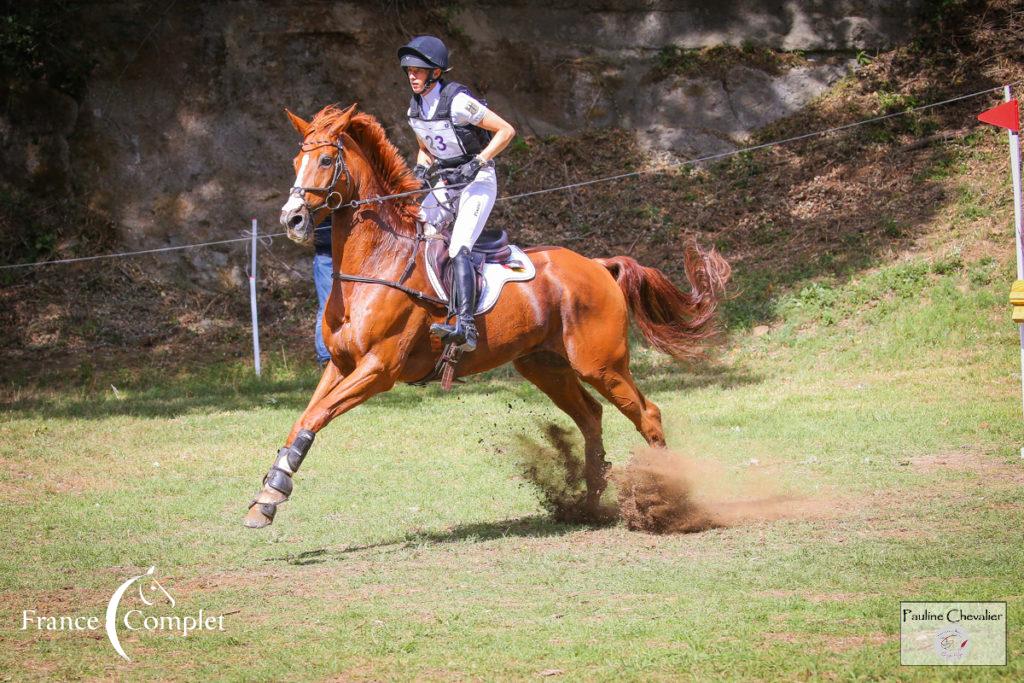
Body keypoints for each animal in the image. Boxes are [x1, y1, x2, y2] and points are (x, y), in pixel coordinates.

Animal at [244, 104, 733, 528]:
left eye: (327, 159)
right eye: (296, 160)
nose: (292, 219)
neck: (377, 260)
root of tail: (598, 265)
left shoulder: (378, 370)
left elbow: (316, 417)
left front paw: (271, 493)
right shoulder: (342, 365)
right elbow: (304, 419)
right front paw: (268, 496)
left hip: (601, 363)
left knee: (647, 414)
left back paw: (668, 499)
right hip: (544, 365)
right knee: (591, 416)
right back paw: (591, 503)